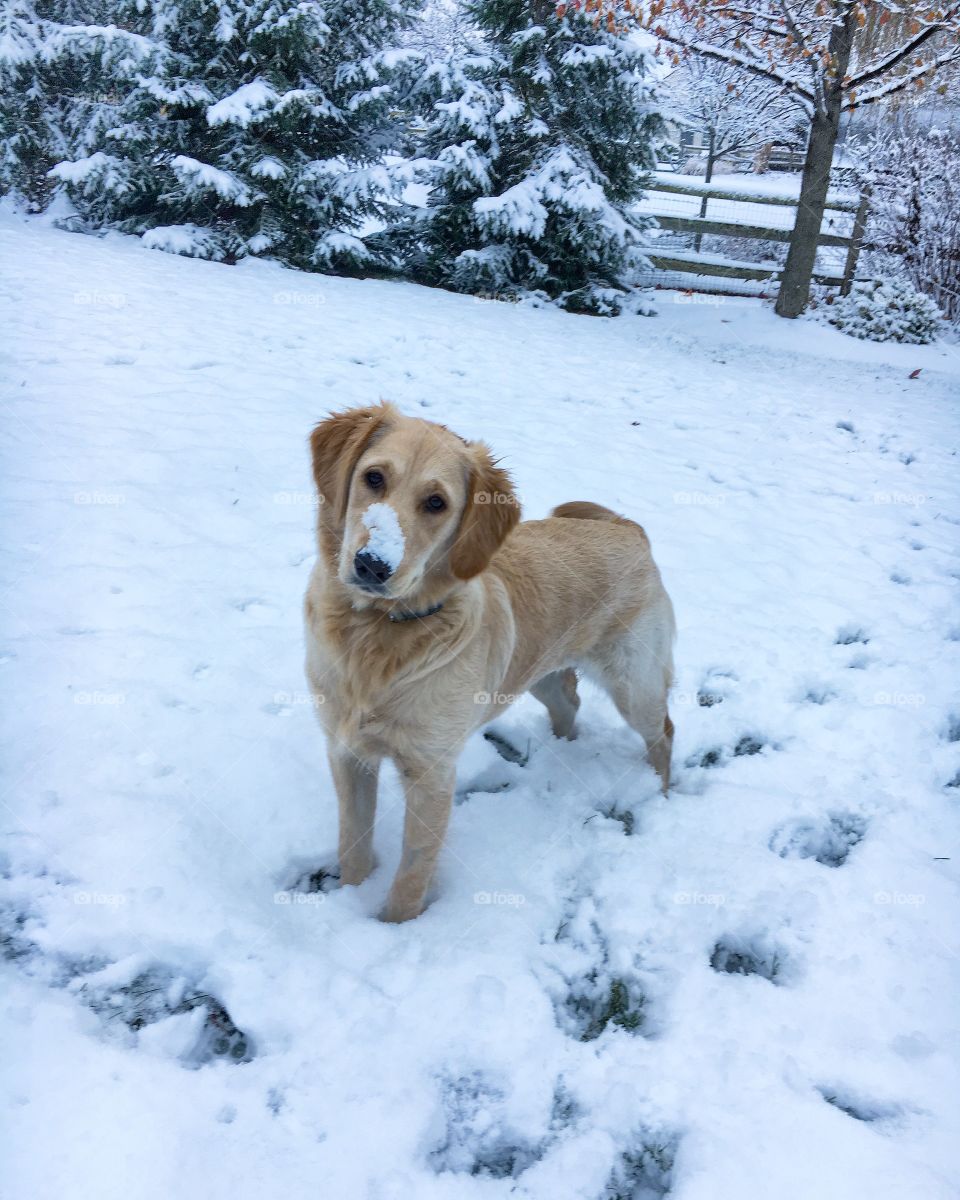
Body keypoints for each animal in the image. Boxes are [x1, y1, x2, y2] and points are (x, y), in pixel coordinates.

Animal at [302, 400, 676, 916]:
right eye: (373, 477)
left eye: (436, 503)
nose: (372, 565)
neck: (378, 636)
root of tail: (628, 528)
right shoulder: (346, 751)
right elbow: (352, 844)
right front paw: (351, 899)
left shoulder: (432, 774)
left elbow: (412, 874)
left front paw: (393, 925)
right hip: (536, 673)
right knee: (570, 703)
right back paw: (562, 750)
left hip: (634, 684)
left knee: (664, 732)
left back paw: (659, 792)